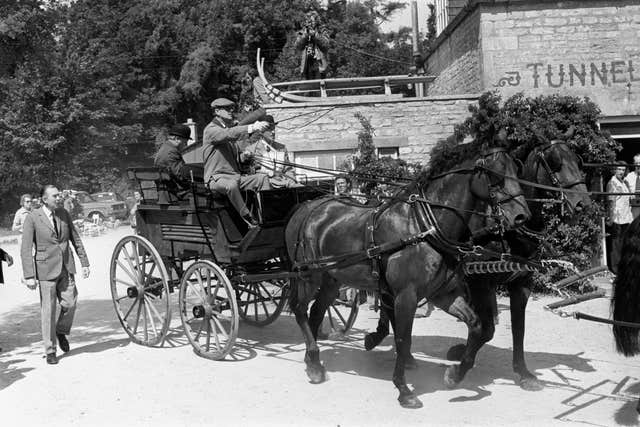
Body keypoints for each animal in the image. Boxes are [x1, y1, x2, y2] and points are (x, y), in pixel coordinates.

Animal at [284, 145, 528, 410]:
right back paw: (313, 359)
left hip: (332, 280)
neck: (423, 228)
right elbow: (403, 340)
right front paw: (403, 390)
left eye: (517, 170)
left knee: (316, 312)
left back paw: (313, 363)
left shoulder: (443, 294)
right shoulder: (406, 296)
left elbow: (476, 326)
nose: (522, 216)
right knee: (300, 309)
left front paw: (455, 374)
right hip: (309, 277)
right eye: (495, 175)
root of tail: (307, 208)